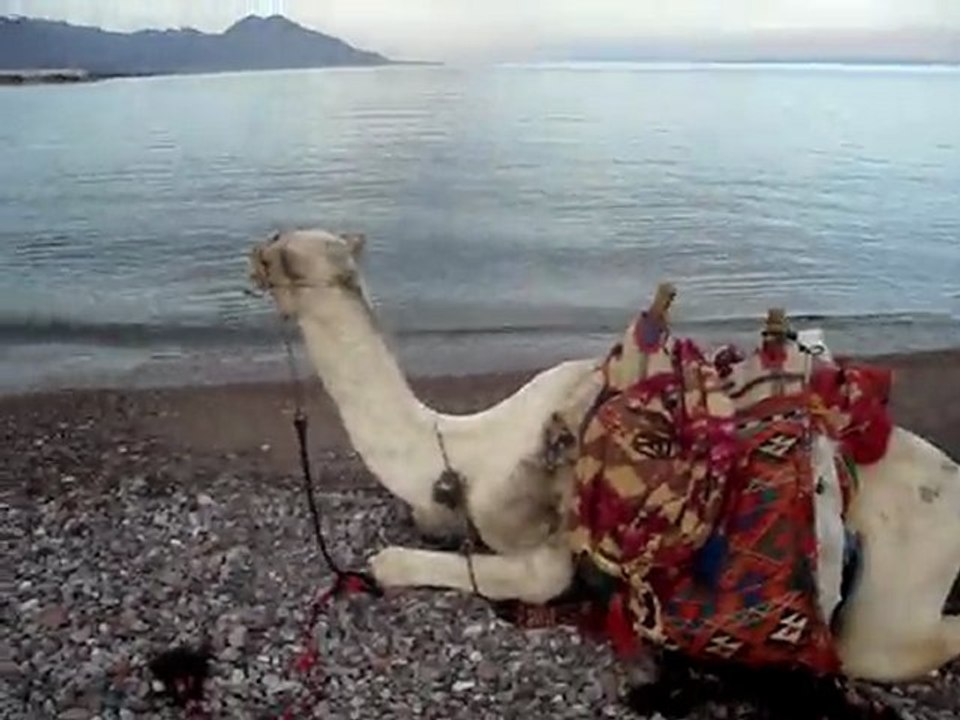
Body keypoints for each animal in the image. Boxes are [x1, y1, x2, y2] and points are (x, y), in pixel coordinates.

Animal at [248, 228, 960, 686]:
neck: (467, 447)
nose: (250, 258)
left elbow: (521, 575)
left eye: (284, 255)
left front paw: (387, 565)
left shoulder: (544, 542)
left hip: (890, 605)